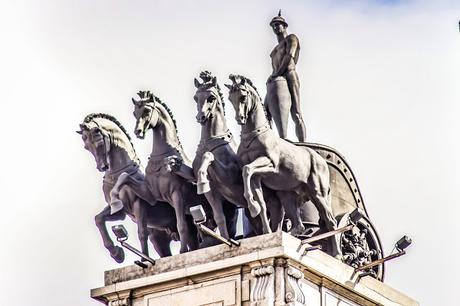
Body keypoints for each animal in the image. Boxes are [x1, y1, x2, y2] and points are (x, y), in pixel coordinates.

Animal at [226, 75, 342, 256]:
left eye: (243, 97)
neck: (253, 137)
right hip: (288, 195)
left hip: (318, 193)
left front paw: (252, 206)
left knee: (330, 221)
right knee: (298, 225)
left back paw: (336, 254)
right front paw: (261, 220)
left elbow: (246, 169)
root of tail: (321, 160)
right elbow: (260, 200)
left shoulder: (270, 165)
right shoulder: (257, 177)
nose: (240, 119)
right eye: (230, 99)